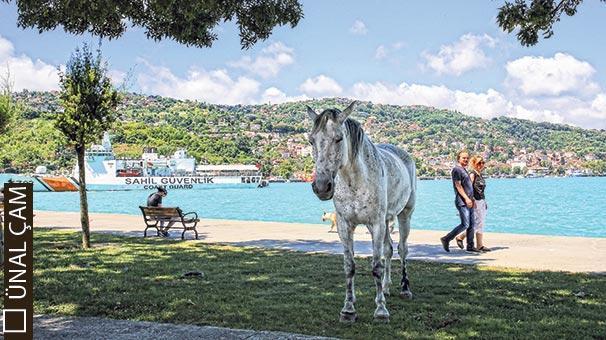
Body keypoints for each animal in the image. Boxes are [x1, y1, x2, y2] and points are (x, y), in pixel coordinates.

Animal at [308, 100, 418, 322]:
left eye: (339, 138)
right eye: (311, 141)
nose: (322, 186)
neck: (355, 181)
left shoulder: (376, 224)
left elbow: (376, 266)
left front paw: (381, 310)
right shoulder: (345, 225)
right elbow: (349, 266)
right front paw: (348, 309)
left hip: (404, 215)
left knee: (402, 249)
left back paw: (405, 288)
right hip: (385, 221)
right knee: (389, 249)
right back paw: (386, 288)